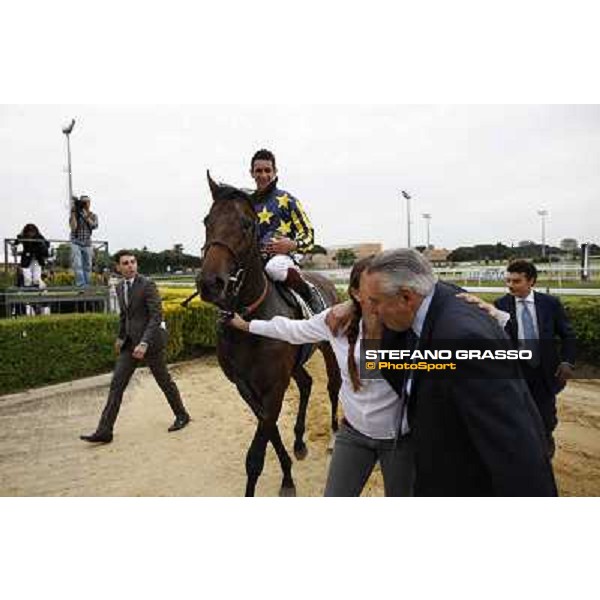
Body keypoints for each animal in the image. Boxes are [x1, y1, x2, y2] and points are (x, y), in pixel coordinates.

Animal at [198, 171, 342, 494]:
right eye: (206, 221)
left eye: (247, 224)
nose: (210, 283)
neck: (249, 320)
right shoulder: (245, 386)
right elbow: (270, 428)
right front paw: (288, 471)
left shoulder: (274, 385)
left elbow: (256, 454)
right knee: (307, 383)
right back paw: (299, 441)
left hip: (328, 349)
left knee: (333, 386)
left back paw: (335, 436)